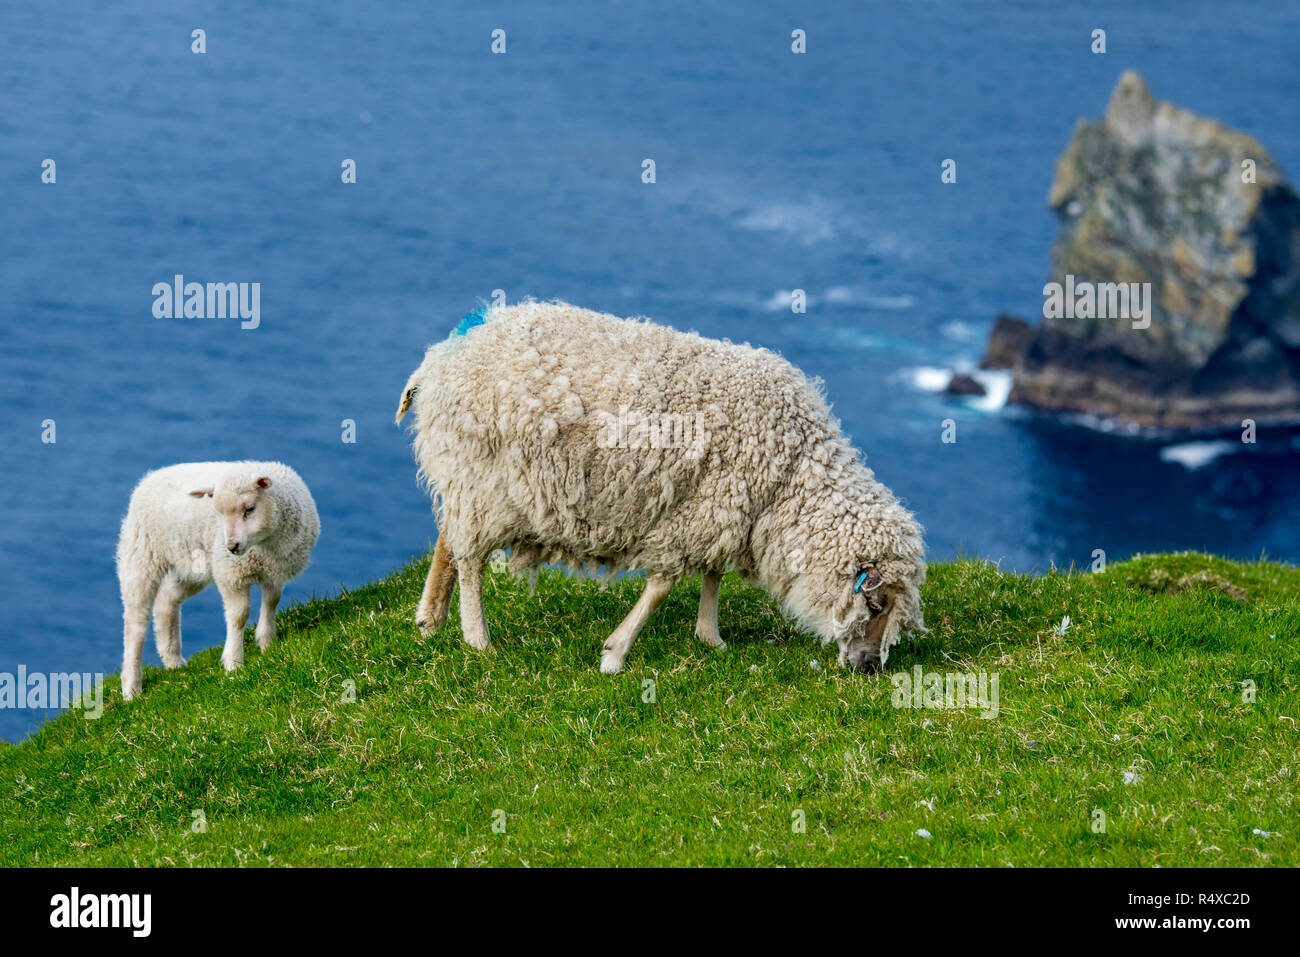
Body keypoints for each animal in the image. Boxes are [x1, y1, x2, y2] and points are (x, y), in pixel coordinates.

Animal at [115, 460, 321, 696]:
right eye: (219, 513)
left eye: (250, 509)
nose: (231, 546)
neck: (266, 547)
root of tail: (148, 477)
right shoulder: (231, 574)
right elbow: (239, 616)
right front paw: (234, 662)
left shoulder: (275, 573)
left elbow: (271, 603)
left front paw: (267, 643)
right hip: (141, 557)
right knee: (135, 623)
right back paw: (131, 685)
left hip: (191, 567)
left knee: (166, 601)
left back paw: (173, 660)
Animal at [392, 299, 925, 670]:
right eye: (873, 601)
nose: (870, 668)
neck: (790, 475)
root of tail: (445, 353)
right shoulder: (696, 512)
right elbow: (663, 587)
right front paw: (616, 652)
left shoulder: (722, 510)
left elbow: (713, 574)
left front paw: (710, 636)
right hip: (483, 480)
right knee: (470, 559)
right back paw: (477, 638)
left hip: (467, 479)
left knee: (447, 538)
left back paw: (430, 618)